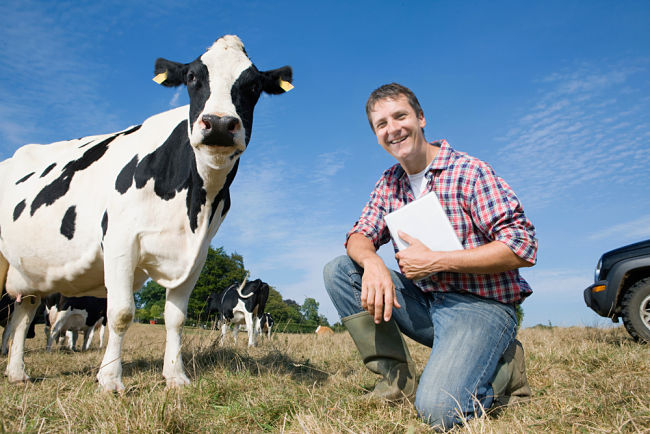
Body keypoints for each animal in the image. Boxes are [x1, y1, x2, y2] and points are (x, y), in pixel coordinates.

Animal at [0, 35, 292, 392]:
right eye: (192, 78)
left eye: (253, 86)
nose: (221, 124)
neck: (193, 206)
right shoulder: (120, 242)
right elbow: (122, 313)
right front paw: (110, 379)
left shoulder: (197, 254)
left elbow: (176, 318)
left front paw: (176, 375)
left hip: (30, 274)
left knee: (23, 314)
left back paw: (17, 373)